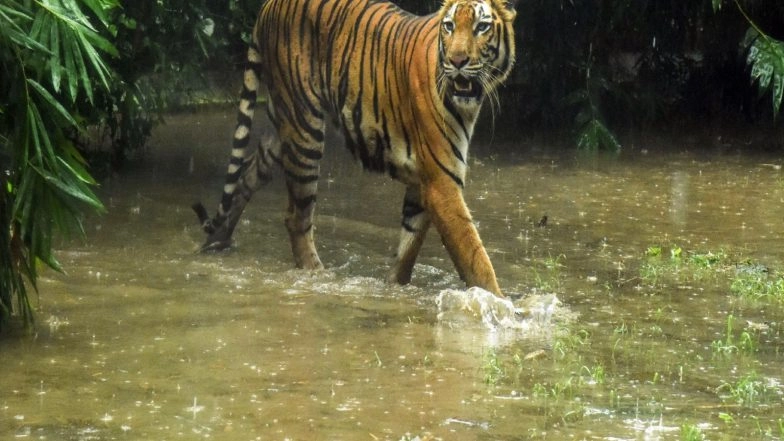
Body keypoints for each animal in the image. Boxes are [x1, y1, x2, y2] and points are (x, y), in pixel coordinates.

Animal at [192, 0, 518, 296]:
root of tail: (268, 5)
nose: (458, 60)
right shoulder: (441, 182)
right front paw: (503, 306)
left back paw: (216, 244)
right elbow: (475, 258)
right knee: (296, 218)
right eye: (449, 26)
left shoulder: (423, 182)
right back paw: (318, 275)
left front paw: (393, 288)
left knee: (245, 177)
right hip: (305, 127)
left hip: (280, 124)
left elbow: (407, 249)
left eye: (481, 27)